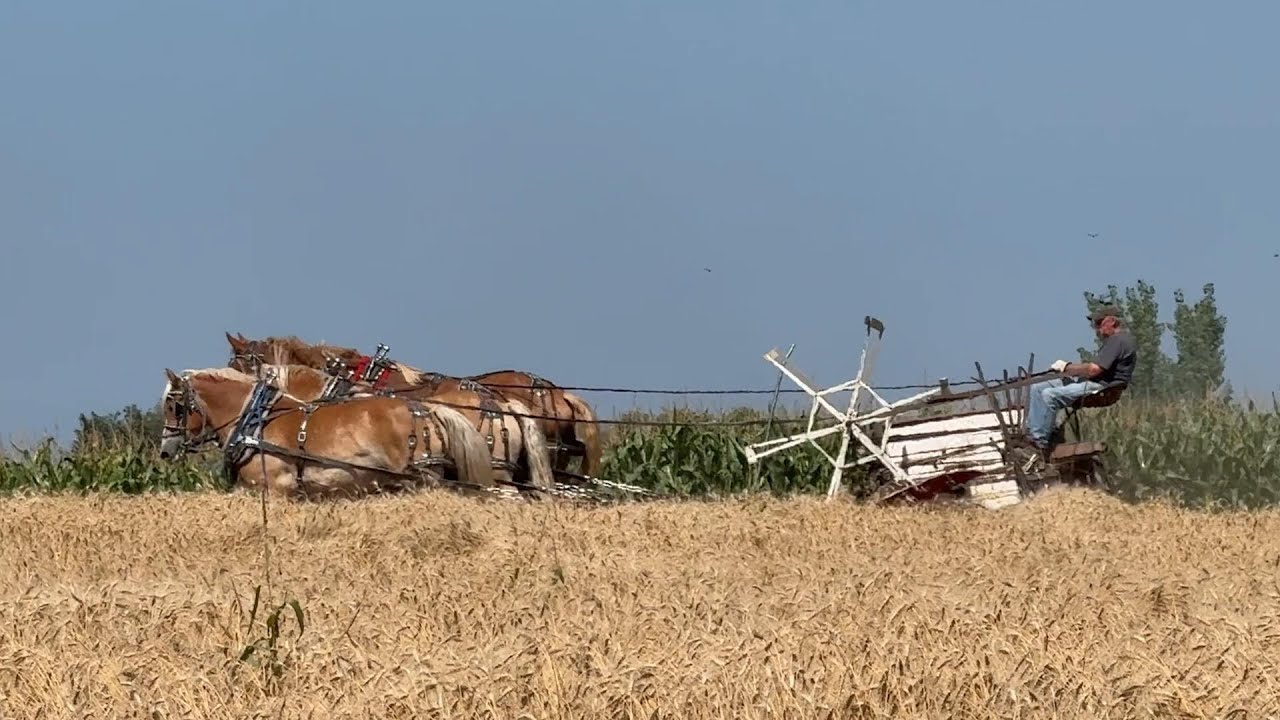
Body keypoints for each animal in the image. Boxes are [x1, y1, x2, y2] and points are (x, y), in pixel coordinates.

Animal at [157, 367, 499, 499]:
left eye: (175, 405)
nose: (165, 450)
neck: (256, 420)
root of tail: (425, 408)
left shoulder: (275, 490)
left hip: (424, 479)